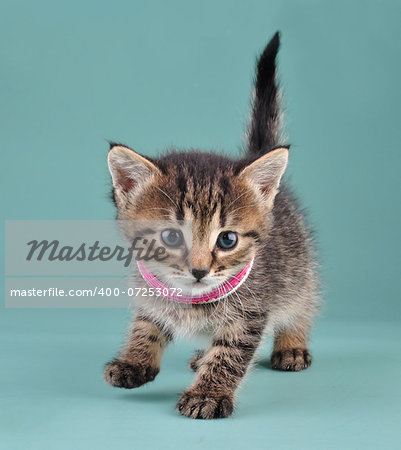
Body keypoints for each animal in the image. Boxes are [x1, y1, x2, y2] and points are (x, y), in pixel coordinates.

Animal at [103, 31, 318, 418]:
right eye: (171, 236)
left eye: (227, 239)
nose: (200, 271)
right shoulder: (150, 291)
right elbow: (147, 323)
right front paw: (134, 359)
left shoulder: (251, 313)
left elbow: (230, 354)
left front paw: (209, 393)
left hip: (299, 267)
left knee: (302, 300)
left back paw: (291, 344)